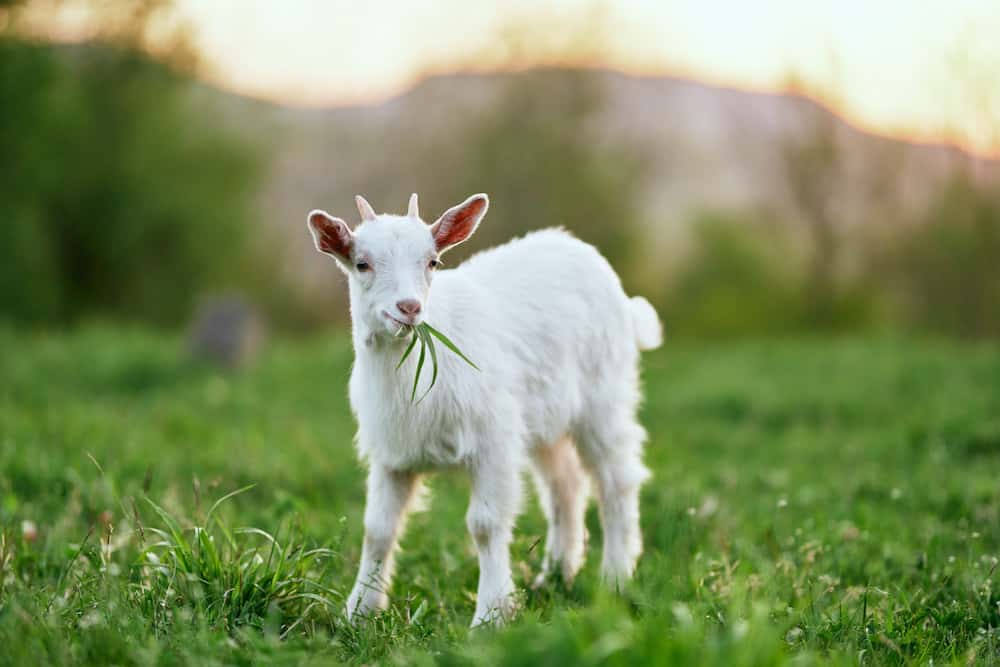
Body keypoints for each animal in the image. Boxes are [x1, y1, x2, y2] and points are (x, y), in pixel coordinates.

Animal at [306, 193, 662, 626]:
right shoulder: (392, 453)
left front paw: (491, 615)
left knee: (616, 480)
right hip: (544, 418)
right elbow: (378, 529)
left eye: (432, 262)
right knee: (565, 485)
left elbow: (485, 525)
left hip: (603, 397)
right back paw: (555, 575)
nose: (408, 308)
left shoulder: (493, 442)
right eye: (362, 263)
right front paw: (358, 611)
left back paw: (615, 578)